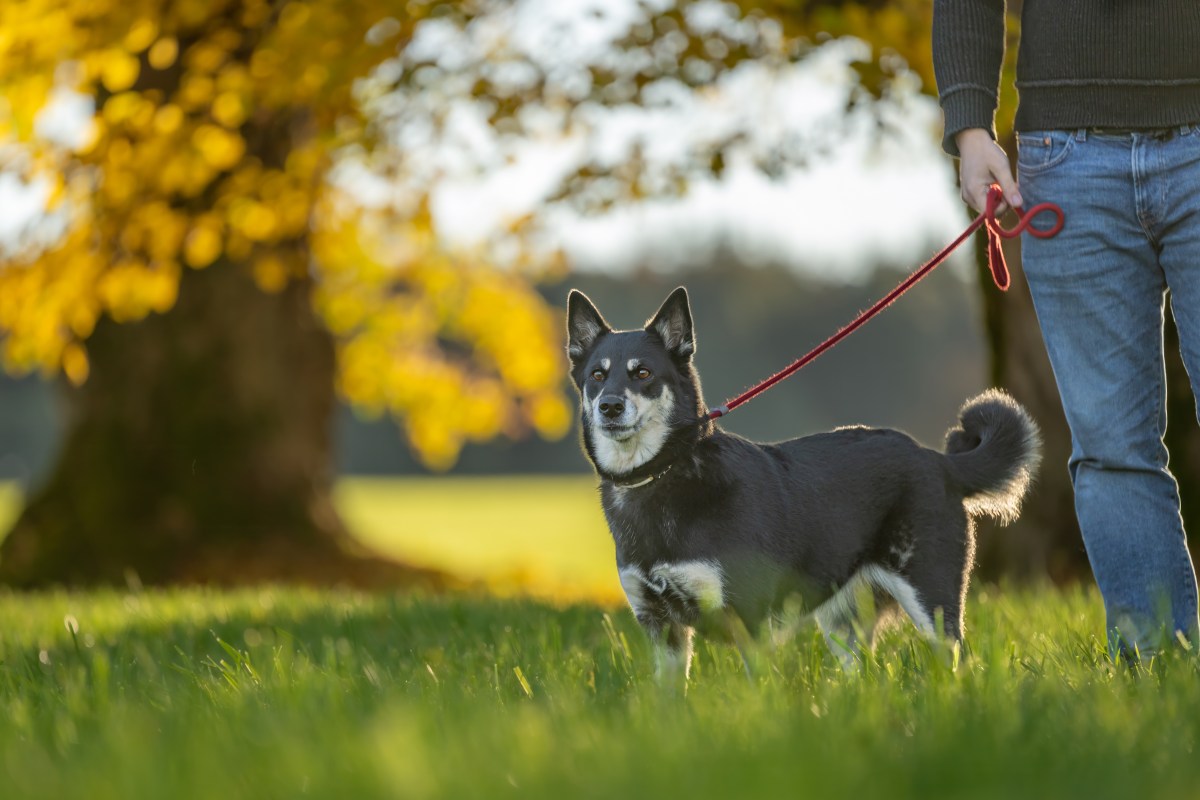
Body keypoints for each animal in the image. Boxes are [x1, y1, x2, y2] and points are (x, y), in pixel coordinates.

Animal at [566, 284, 1036, 681]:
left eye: (643, 373)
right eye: (597, 376)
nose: (610, 406)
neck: (662, 475)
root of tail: (938, 461)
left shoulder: (749, 619)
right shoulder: (661, 629)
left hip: (932, 602)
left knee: (959, 663)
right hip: (844, 624)